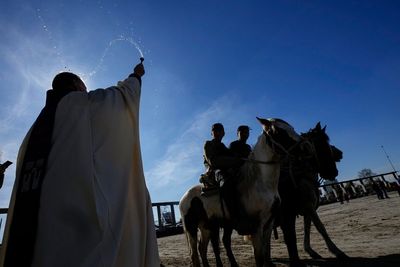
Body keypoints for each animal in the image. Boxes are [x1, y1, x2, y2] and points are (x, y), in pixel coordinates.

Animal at [178, 118, 300, 267]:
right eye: (278, 132)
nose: (303, 147)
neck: (261, 183)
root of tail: (184, 198)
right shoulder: (256, 227)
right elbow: (259, 257)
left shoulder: (269, 224)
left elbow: (266, 251)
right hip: (191, 228)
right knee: (195, 253)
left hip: (207, 226)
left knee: (203, 248)